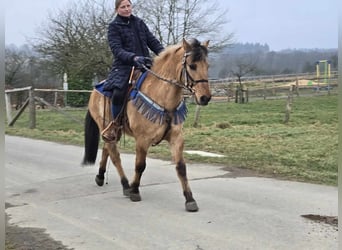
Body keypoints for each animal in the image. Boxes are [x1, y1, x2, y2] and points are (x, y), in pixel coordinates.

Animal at [83, 38, 211, 212]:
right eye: (192, 66)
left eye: (207, 65)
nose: (205, 97)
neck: (163, 99)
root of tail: (96, 89)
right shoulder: (142, 139)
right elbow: (140, 165)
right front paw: (135, 191)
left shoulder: (176, 138)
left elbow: (181, 167)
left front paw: (190, 199)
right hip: (105, 126)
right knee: (114, 155)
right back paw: (125, 185)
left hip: (114, 132)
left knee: (107, 149)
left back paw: (100, 176)